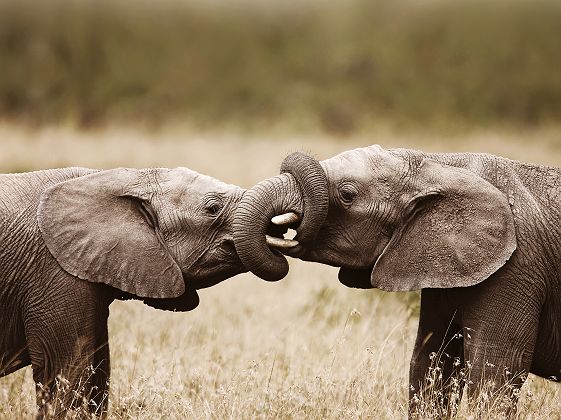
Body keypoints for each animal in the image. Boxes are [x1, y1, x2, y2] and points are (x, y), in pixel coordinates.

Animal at [234, 146, 560, 416]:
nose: (280, 232)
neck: (438, 163)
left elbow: (494, 374)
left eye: (347, 194)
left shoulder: (515, 270)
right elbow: (430, 364)